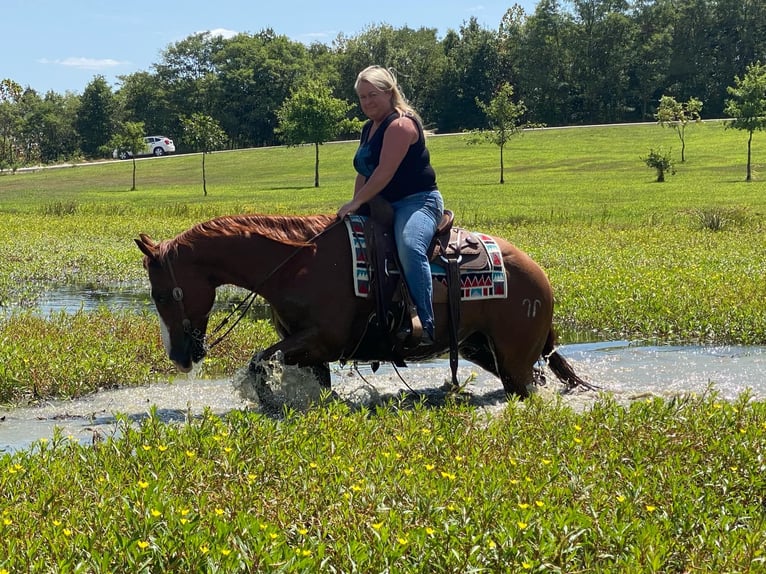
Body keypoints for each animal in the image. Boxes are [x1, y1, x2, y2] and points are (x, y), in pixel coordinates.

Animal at [135, 214, 592, 398]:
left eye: (162, 294)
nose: (178, 356)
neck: (297, 262)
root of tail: (538, 276)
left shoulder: (321, 339)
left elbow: (258, 362)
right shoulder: (306, 347)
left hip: (514, 362)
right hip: (482, 348)